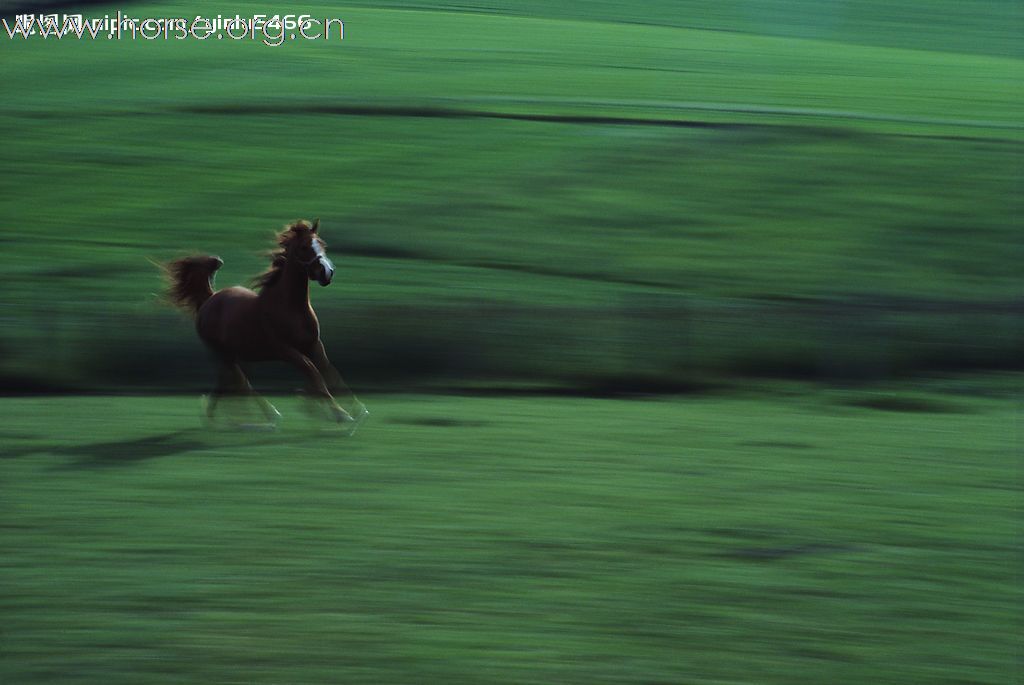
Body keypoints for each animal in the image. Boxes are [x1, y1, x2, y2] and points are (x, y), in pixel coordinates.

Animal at [161, 219, 366, 430]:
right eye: (303, 247)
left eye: (322, 244)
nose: (327, 273)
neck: (290, 307)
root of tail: (209, 299)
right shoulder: (286, 350)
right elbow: (314, 373)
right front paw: (341, 415)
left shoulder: (314, 344)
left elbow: (330, 371)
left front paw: (356, 411)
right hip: (222, 353)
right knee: (240, 382)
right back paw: (264, 417)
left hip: (239, 354)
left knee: (228, 380)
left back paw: (215, 417)